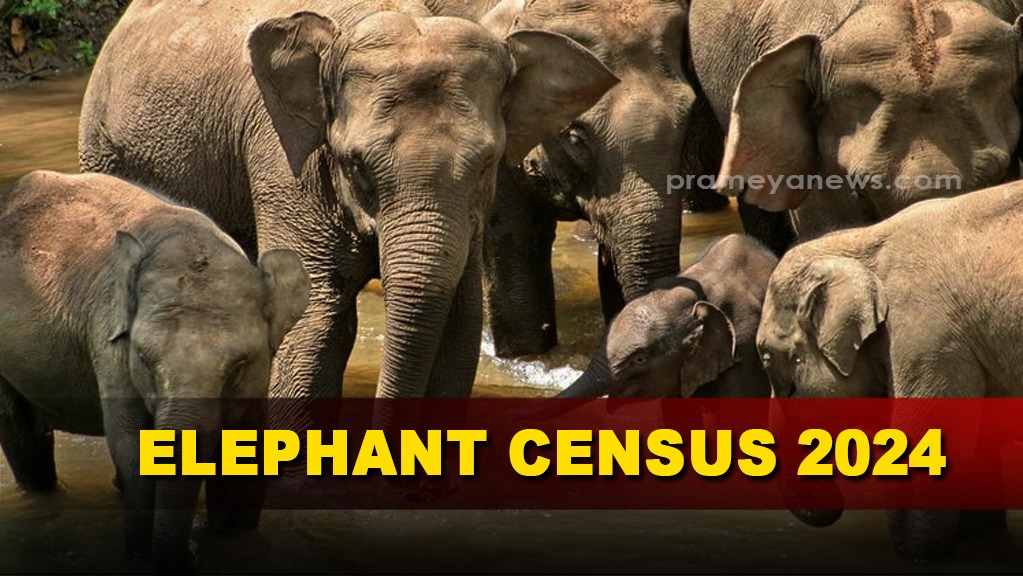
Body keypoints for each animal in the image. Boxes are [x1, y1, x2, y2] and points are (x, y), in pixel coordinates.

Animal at [0, 171, 310, 573]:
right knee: (23, 441)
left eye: (238, 366)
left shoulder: (257, 383)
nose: (192, 556)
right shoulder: (110, 345)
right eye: (145, 361)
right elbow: (132, 450)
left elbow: (247, 460)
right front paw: (139, 557)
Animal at [79, 0, 617, 428]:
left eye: (487, 163)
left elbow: (459, 319)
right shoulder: (282, 156)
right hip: (105, 148)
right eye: (356, 165)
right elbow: (318, 317)